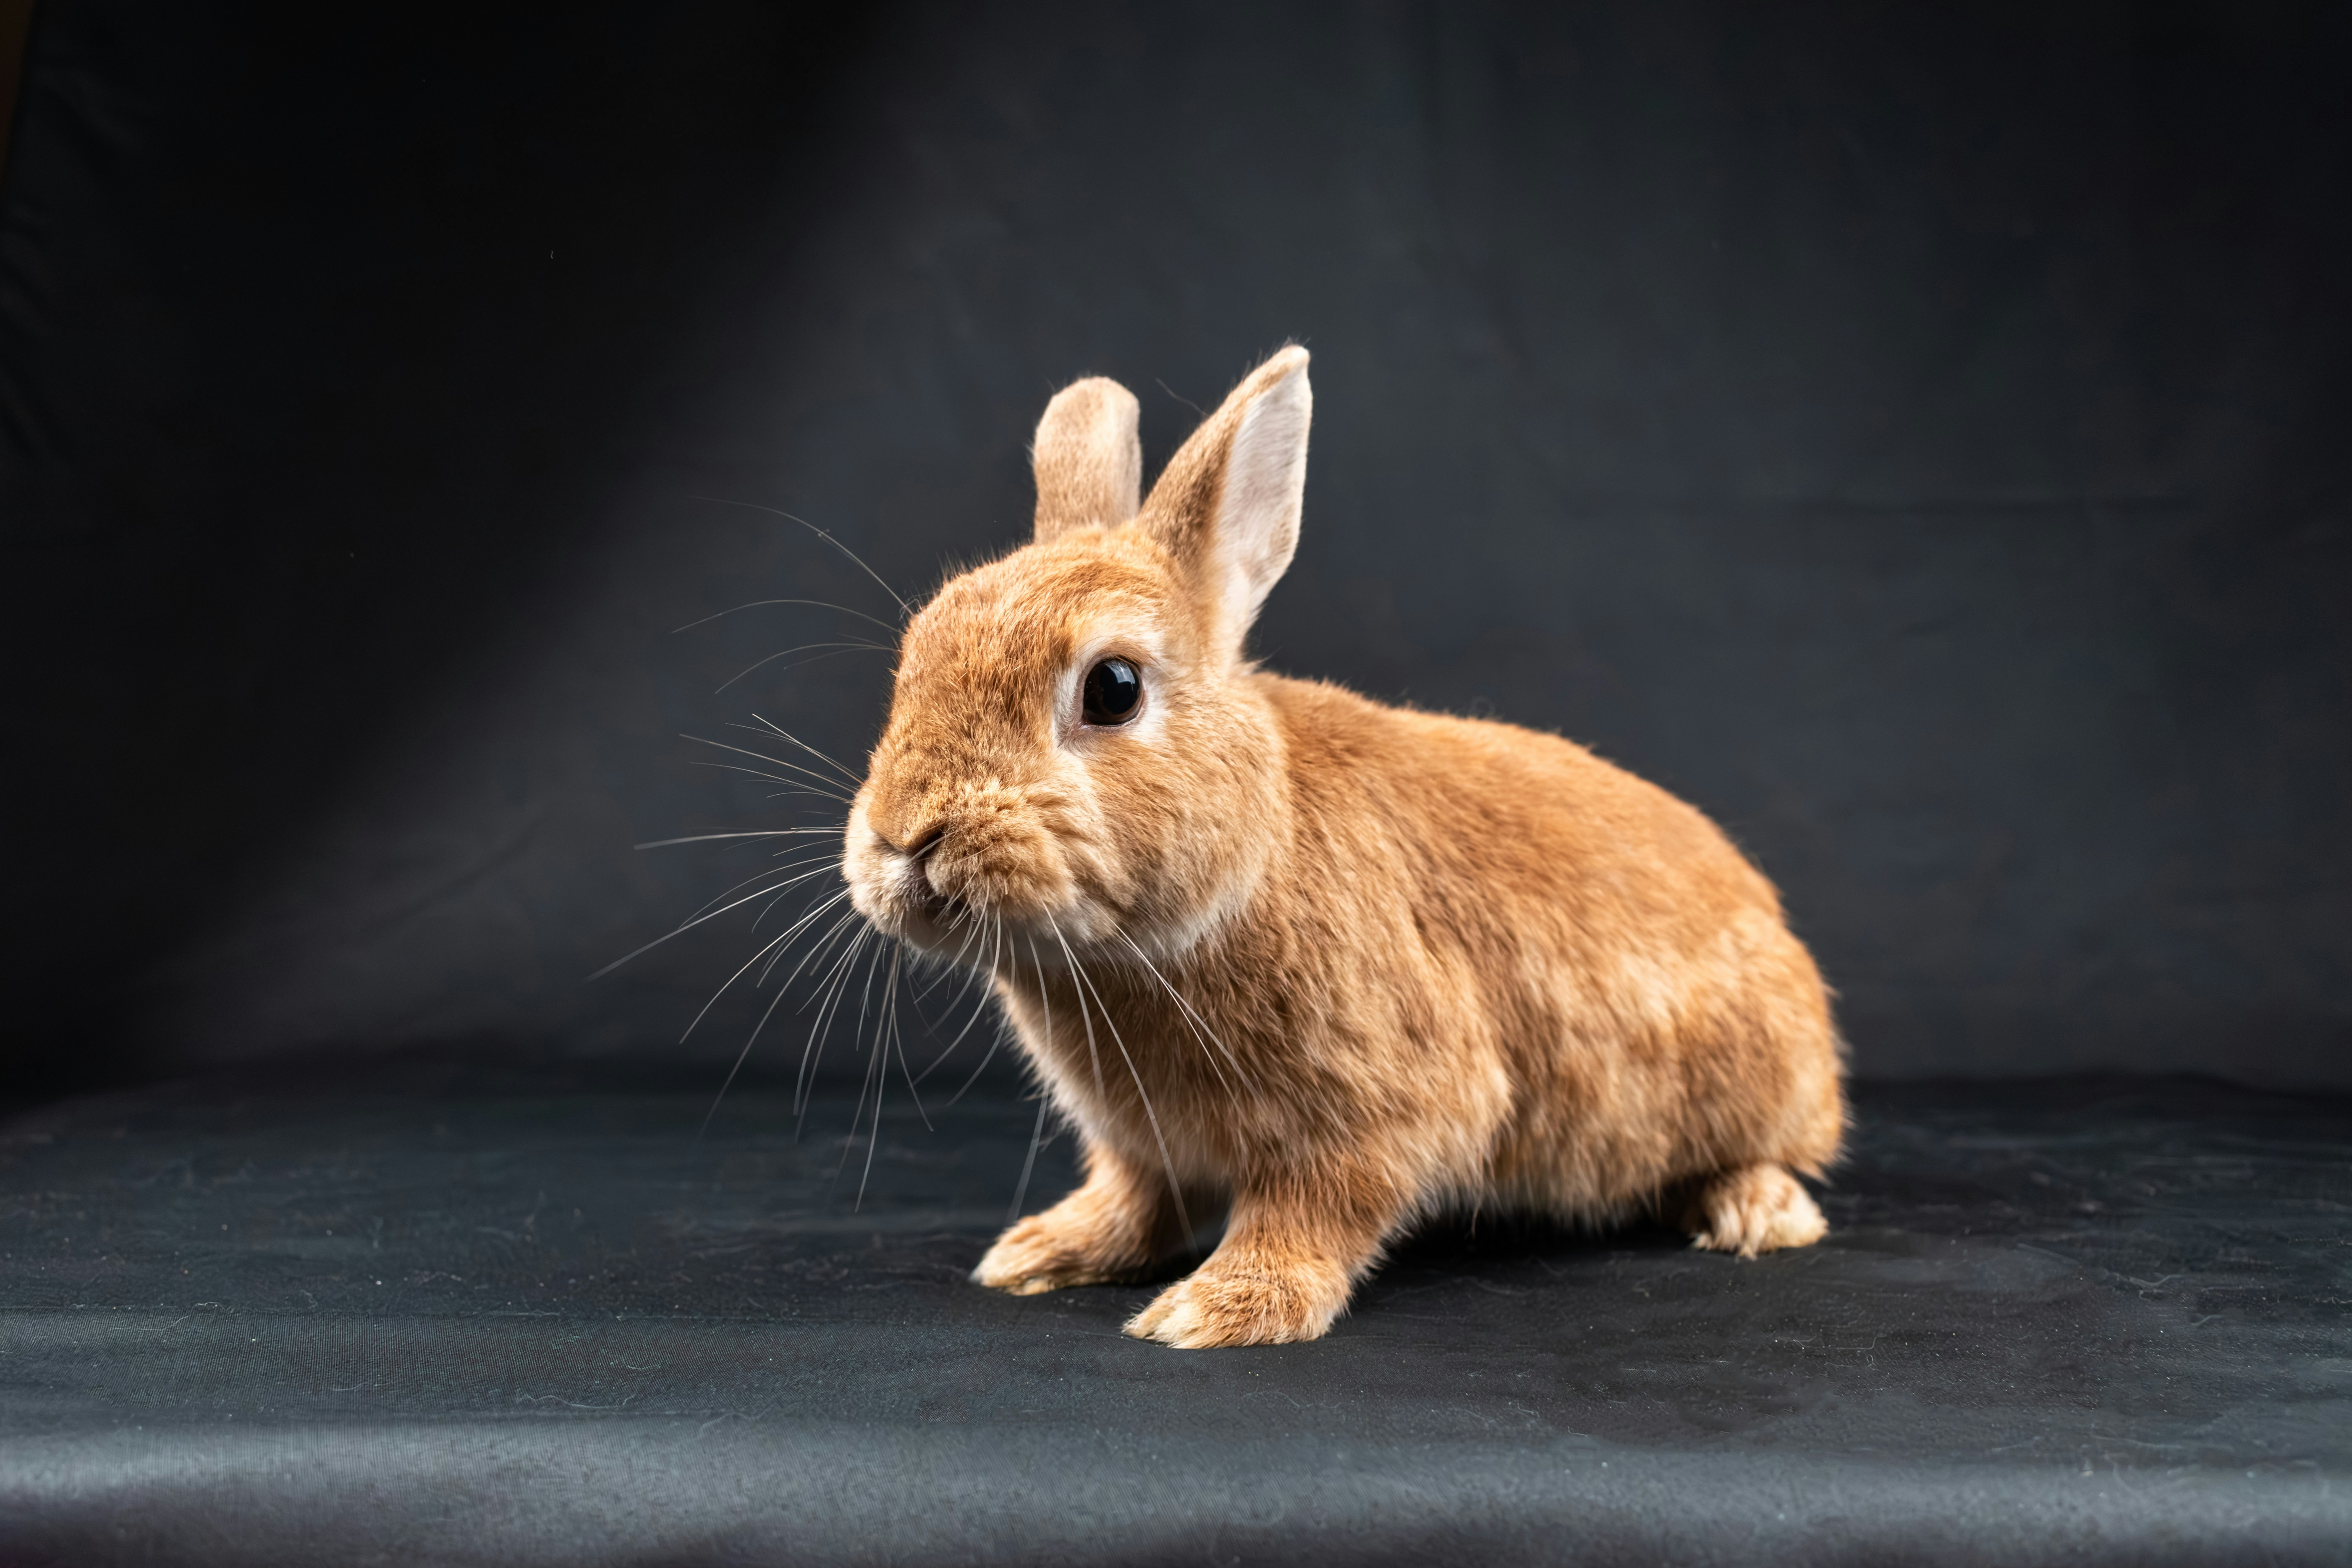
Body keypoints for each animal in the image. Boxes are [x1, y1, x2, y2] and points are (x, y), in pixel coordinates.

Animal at [842, 346, 1846, 1348]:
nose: (905, 833)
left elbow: (1312, 1209)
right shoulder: (1141, 1142)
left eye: (1113, 688)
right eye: (916, 651)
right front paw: (1042, 1253)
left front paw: (1219, 1309)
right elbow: (1136, 1199)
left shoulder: (1375, 1108)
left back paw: (1756, 1212)